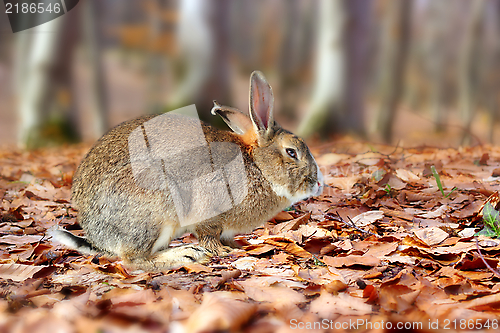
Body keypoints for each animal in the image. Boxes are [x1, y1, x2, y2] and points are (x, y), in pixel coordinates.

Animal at [51, 71, 324, 272]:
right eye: (291, 152)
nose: (317, 183)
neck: (257, 165)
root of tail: (97, 235)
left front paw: (238, 245)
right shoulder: (208, 210)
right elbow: (209, 236)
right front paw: (223, 252)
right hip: (155, 208)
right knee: (133, 259)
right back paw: (186, 255)